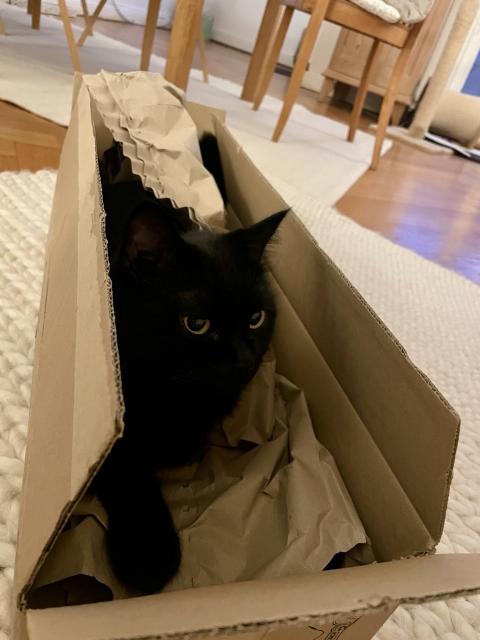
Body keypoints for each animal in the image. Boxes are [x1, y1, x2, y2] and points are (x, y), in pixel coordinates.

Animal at [95, 142, 286, 592]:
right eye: (196, 324)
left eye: (256, 318)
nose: (245, 358)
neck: (173, 395)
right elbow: (127, 468)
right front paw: (149, 555)